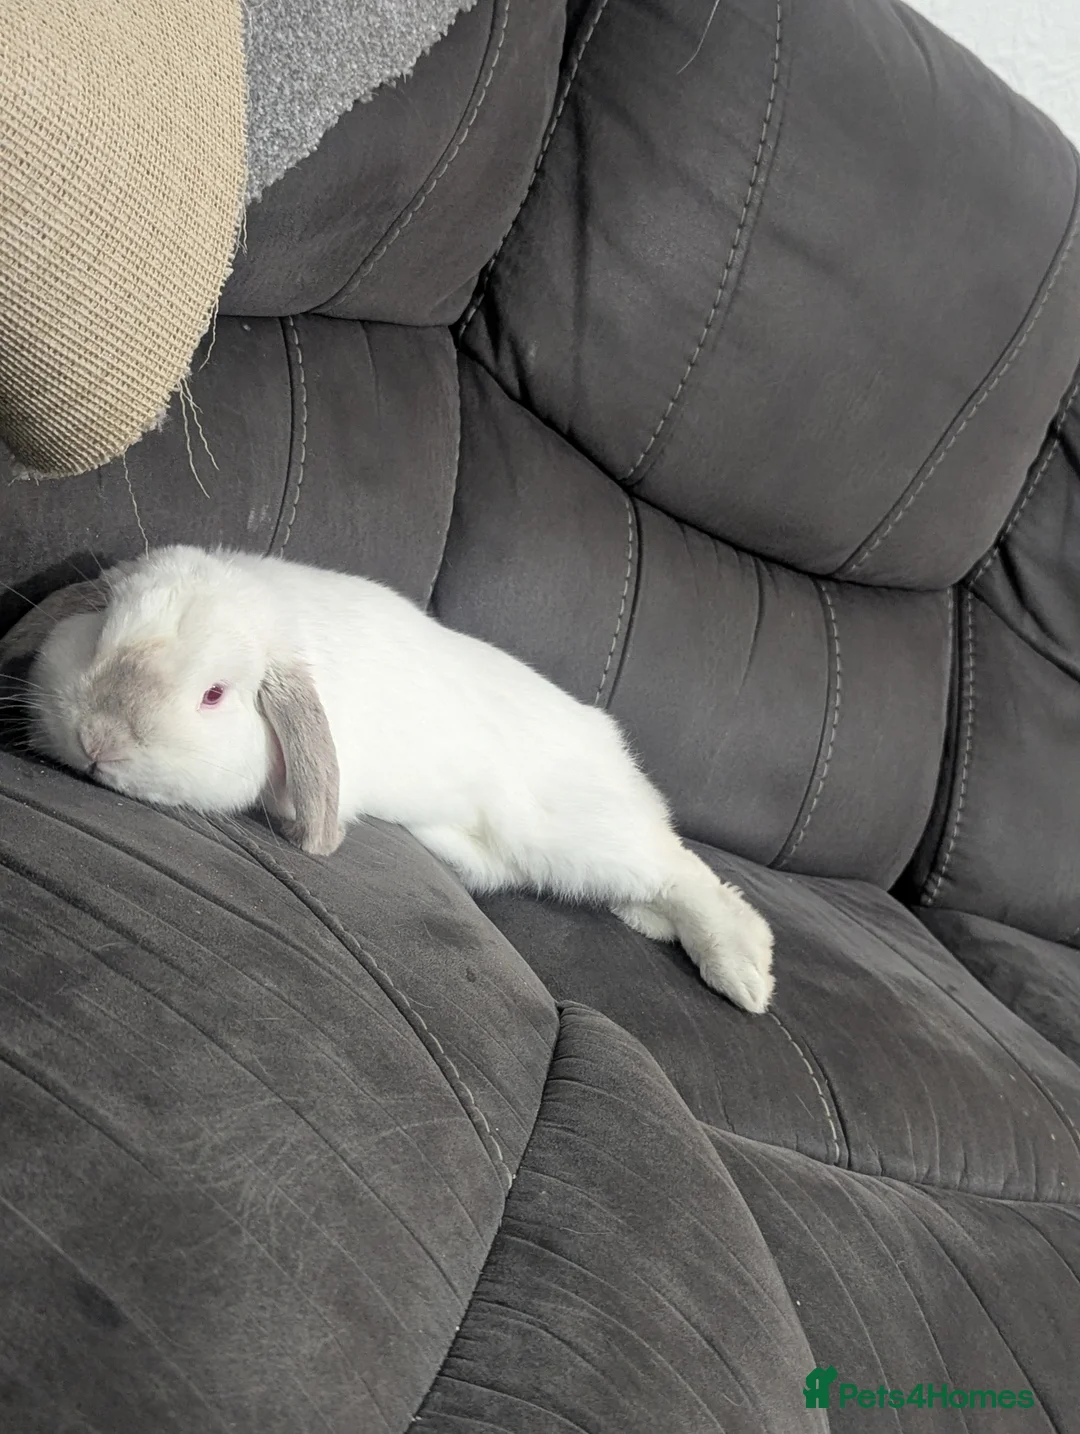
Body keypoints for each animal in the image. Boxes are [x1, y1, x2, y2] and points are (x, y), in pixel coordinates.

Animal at [2, 545, 775, 1012]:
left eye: (215, 695)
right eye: (99, 634)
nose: (97, 742)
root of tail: (614, 752)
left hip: (584, 841)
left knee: (689, 877)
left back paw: (744, 974)